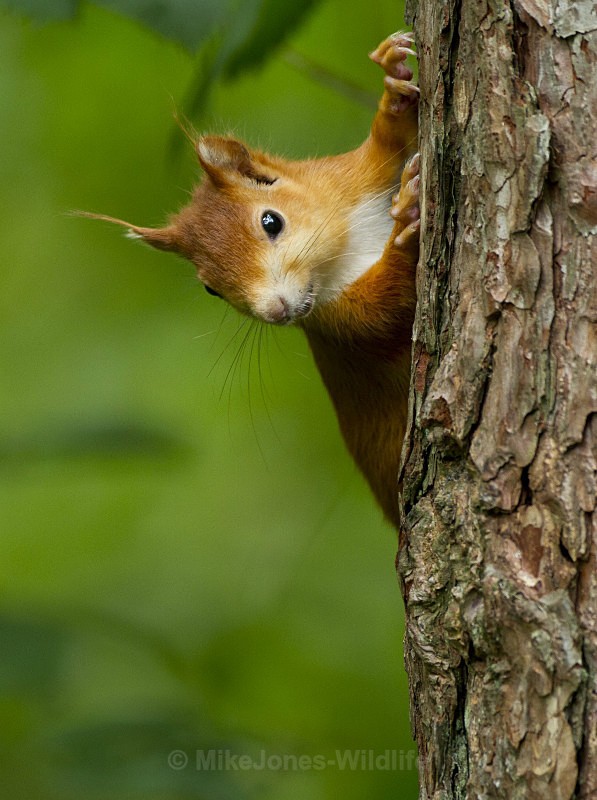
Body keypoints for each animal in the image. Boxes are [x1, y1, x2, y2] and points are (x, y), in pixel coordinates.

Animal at [84, 32, 420, 528]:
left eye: (271, 221)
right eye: (211, 288)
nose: (276, 311)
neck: (341, 252)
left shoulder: (352, 176)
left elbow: (389, 143)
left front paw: (394, 81)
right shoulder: (336, 324)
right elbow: (383, 311)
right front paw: (407, 227)